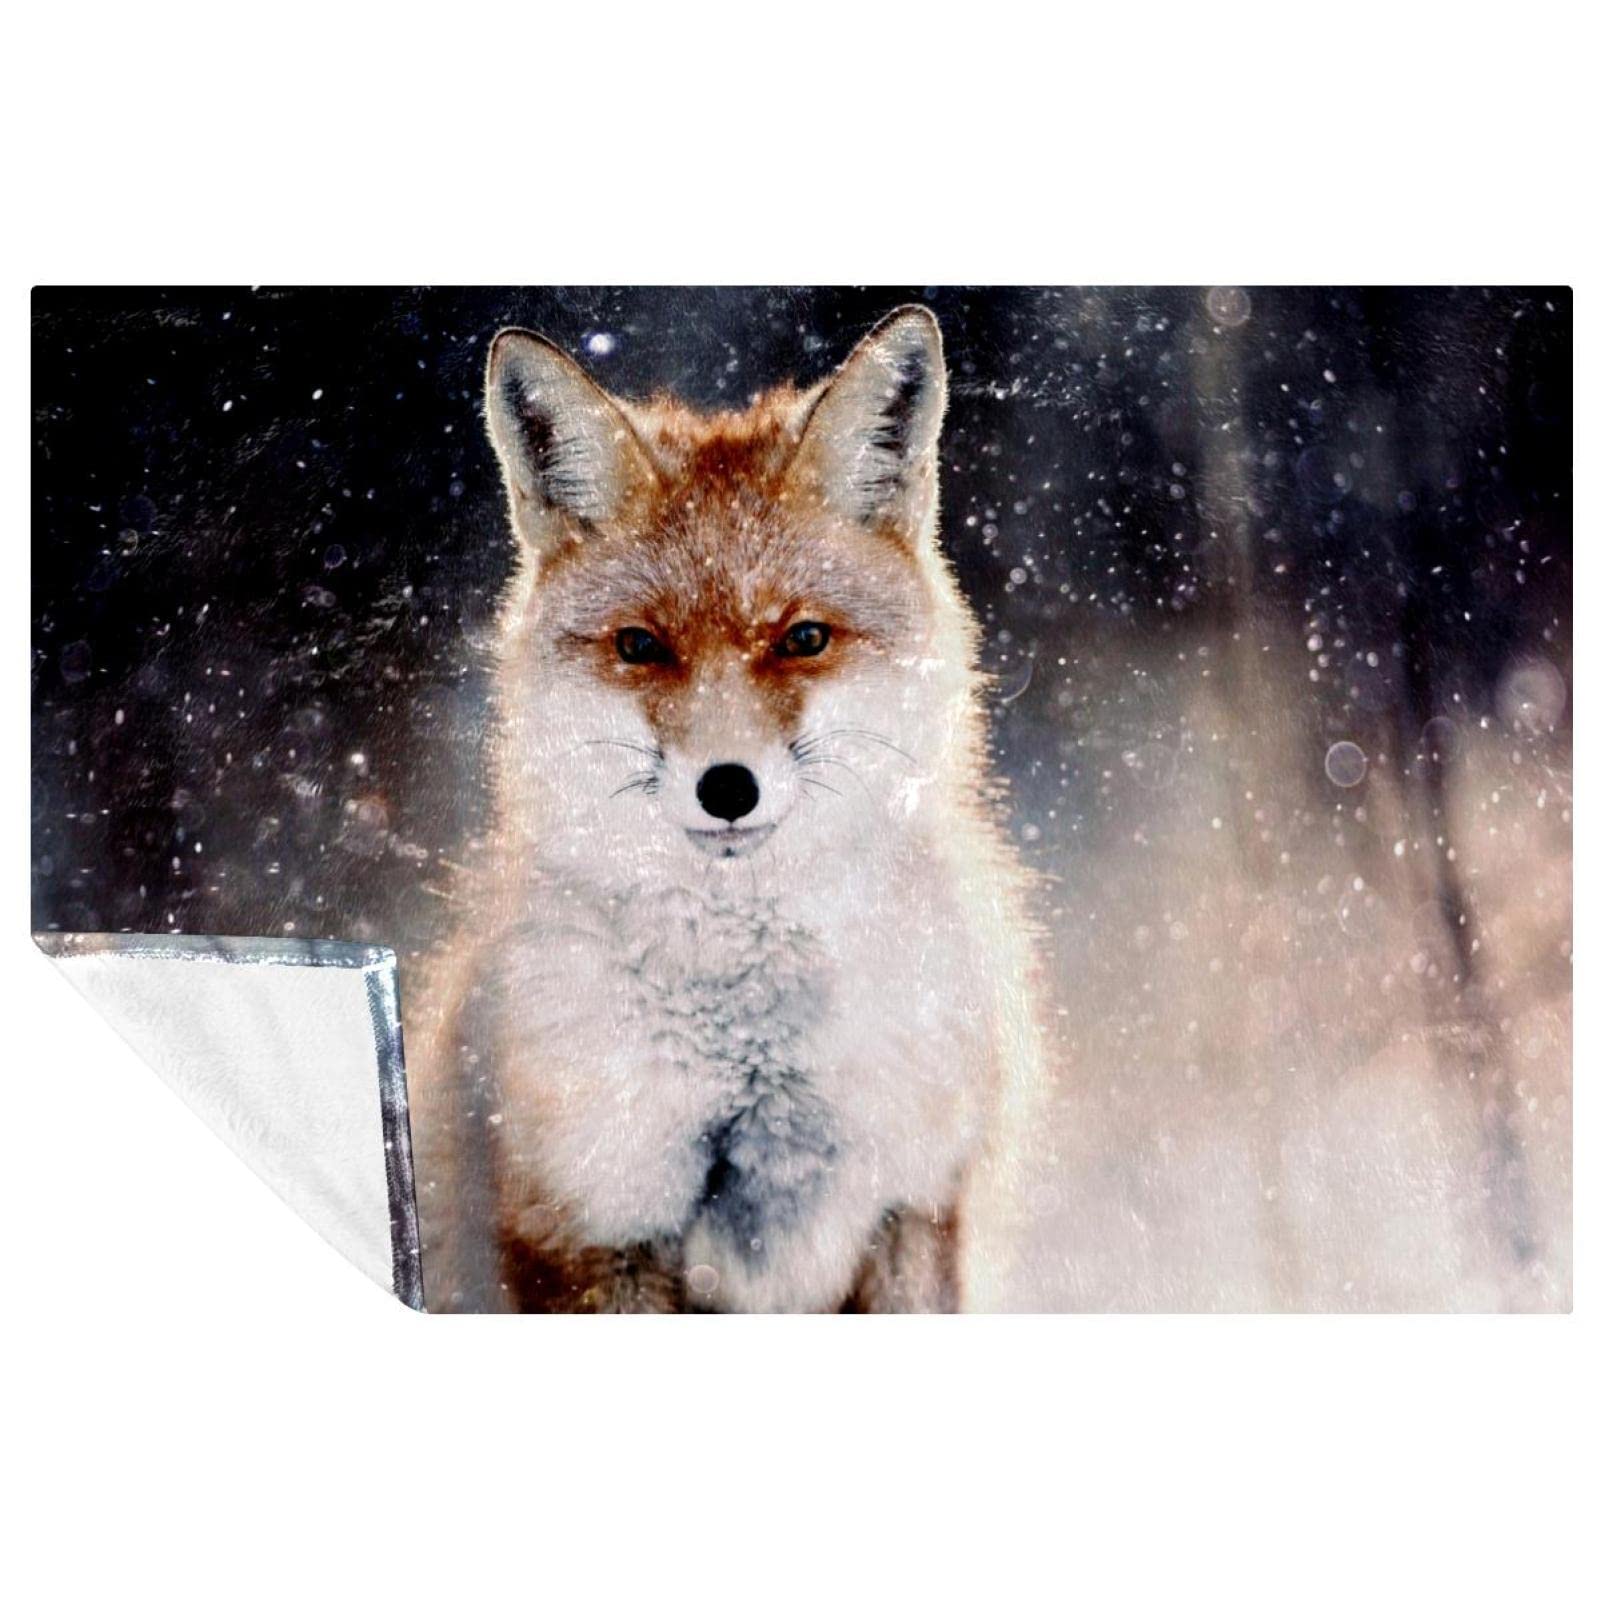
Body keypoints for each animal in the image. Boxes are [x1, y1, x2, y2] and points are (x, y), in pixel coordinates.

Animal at [410, 305, 1045, 1312]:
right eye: (640, 646)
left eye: (803, 638)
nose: (727, 787)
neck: (753, 1044)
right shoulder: (588, 1221)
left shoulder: (912, 1204)